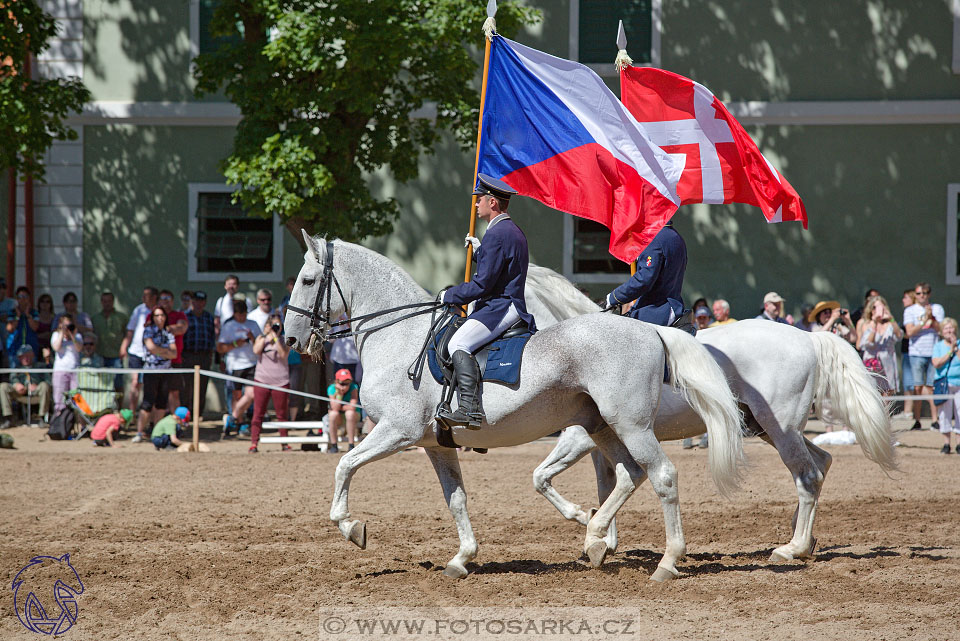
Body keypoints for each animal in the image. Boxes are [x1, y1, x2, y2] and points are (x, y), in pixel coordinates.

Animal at [282, 235, 748, 580]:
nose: (289, 339)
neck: (400, 336)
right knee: (628, 474)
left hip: (630, 425)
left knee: (662, 476)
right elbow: (456, 498)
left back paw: (665, 561)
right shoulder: (436, 444)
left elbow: (344, 464)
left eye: (307, 280)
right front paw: (462, 558)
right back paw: (595, 536)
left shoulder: (397, 431)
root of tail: (650, 330)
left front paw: (352, 527)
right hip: (603, 427)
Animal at [520, 264, 896, 560]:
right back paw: (802, 535)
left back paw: (794, 547)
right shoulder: (600, 439)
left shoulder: (580, 438)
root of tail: (808, 338)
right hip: (768, 428)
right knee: (821, 462)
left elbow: (541, 477)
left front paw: (585, 522)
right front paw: (602, 541)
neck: (576, 346)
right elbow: (606, 485)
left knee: (808, 475)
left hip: (780, 429)